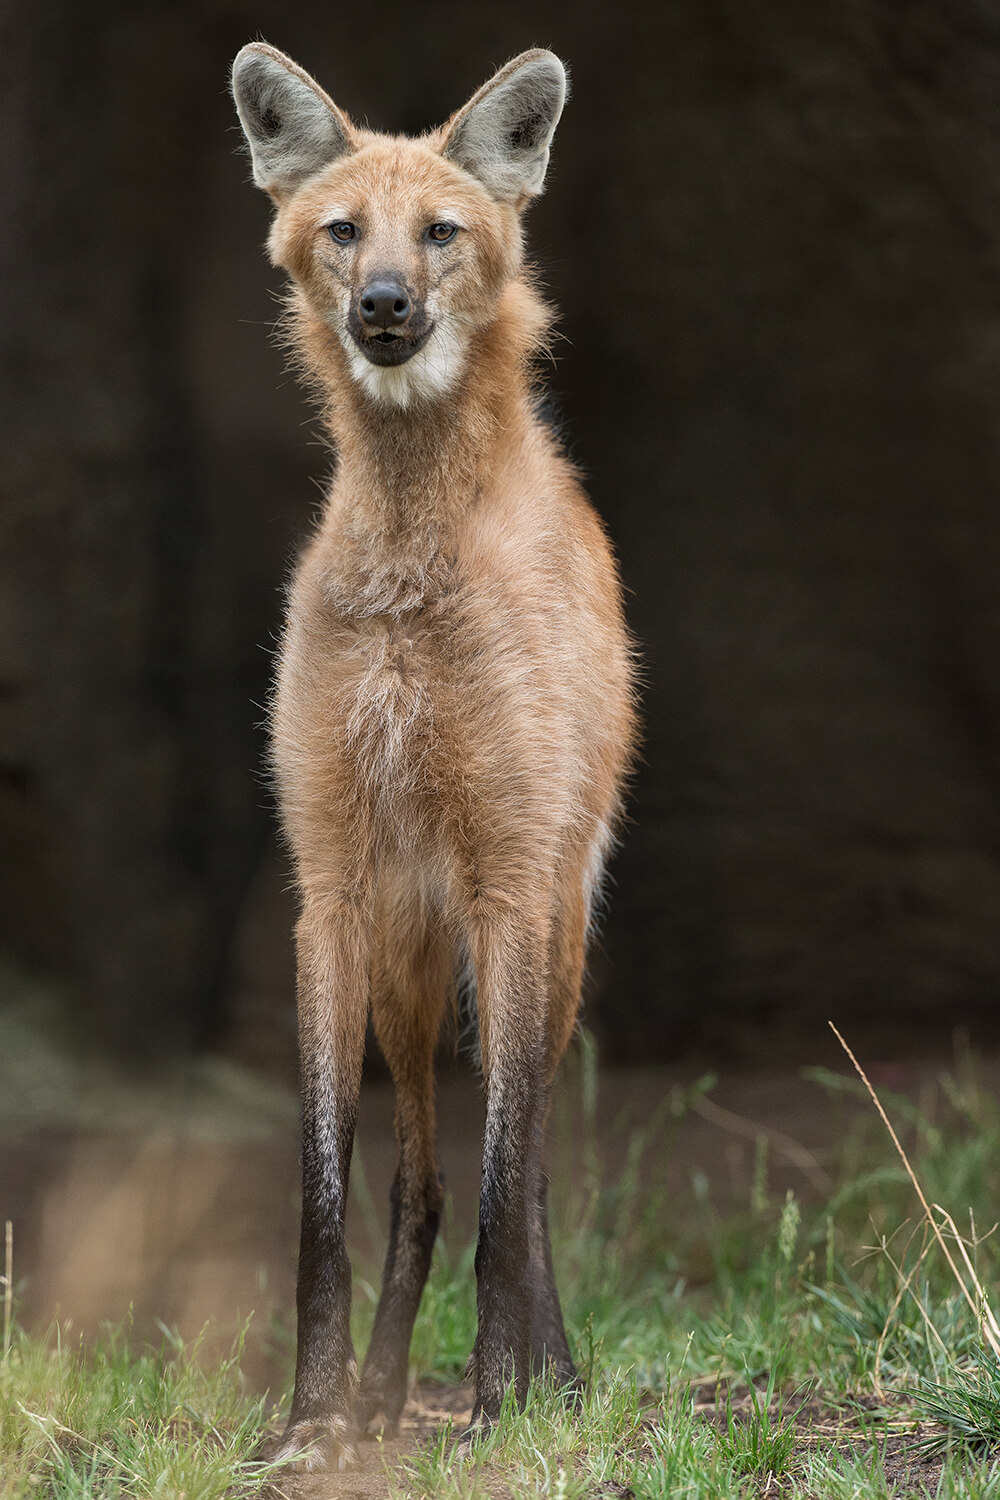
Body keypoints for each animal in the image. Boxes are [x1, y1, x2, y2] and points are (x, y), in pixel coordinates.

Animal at [233, 41, 638, 1470]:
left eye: (443, 233)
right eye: (345, 231)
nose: (386, 307)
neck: (412, 576)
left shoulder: (510, 884)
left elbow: (510, 1187)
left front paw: (503, 1405)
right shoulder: (331, 888)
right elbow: (327, 1197)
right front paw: (312, 1415)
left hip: (550, 936)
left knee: (524, 1170)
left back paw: (551, 1377)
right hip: (409, 964)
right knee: (416, 1179)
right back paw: (378, 1389)